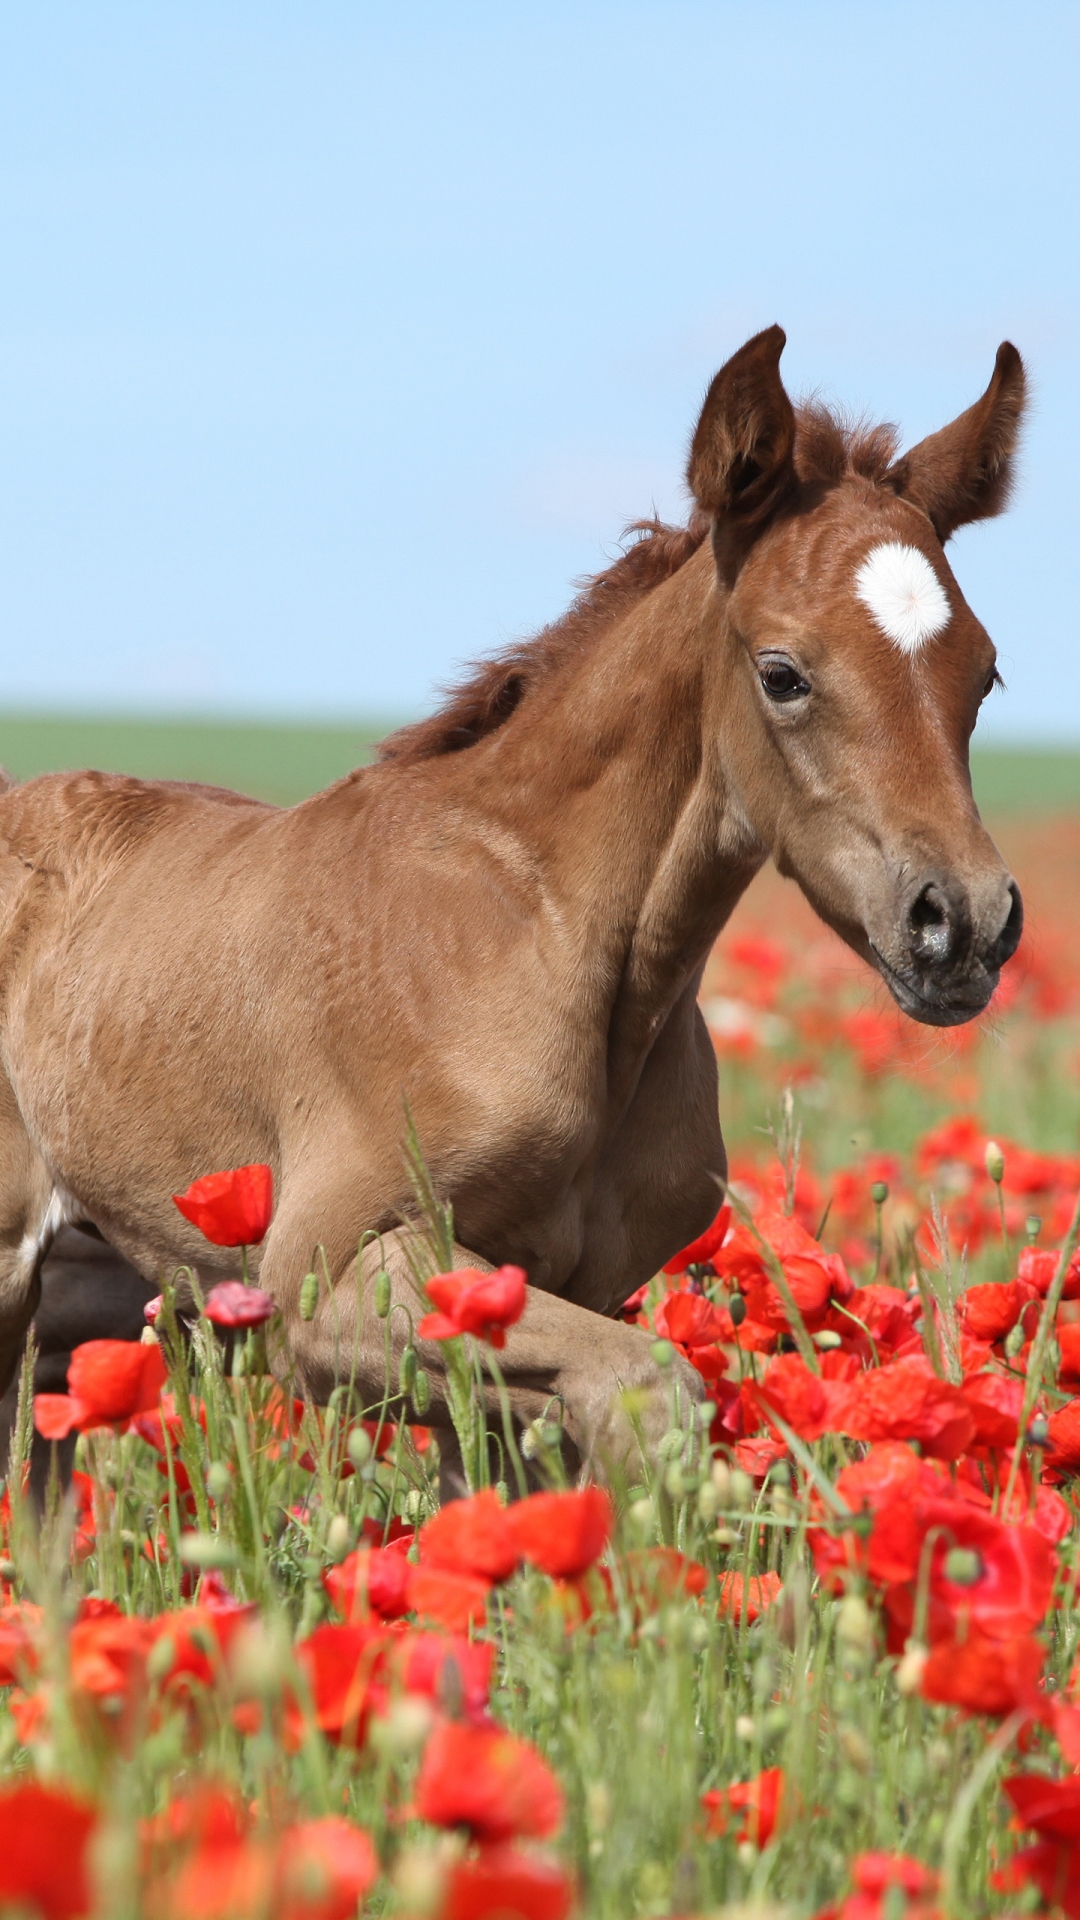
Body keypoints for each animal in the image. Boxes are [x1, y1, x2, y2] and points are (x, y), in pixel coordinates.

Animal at [0, 326, 1022, 1466]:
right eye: (783, 672)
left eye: (984, 673)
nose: (964, 924)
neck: (540, 939)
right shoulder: (326, 1279)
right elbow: (650, 1387)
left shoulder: (552, 1296)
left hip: (89, 1299)